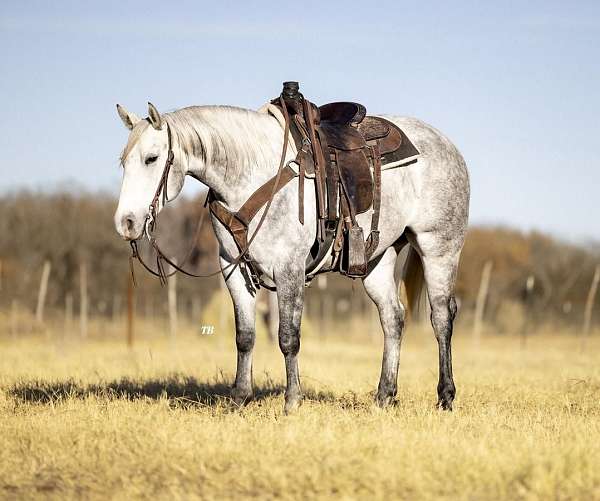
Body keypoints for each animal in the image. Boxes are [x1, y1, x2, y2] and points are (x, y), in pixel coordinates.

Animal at [112, 99, 468, 412]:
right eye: (123, 161)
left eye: (152, 158)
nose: (126, 222)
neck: (252, 175)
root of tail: (449, 147)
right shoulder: (233, 269)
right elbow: (245, 336)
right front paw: (239, 398)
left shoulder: (289, 269)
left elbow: (288, 337)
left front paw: (292, 401)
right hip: (376, 261)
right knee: (393, 318)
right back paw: (384, 396)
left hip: (439, 249)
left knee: (441, 317)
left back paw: (446, 397)